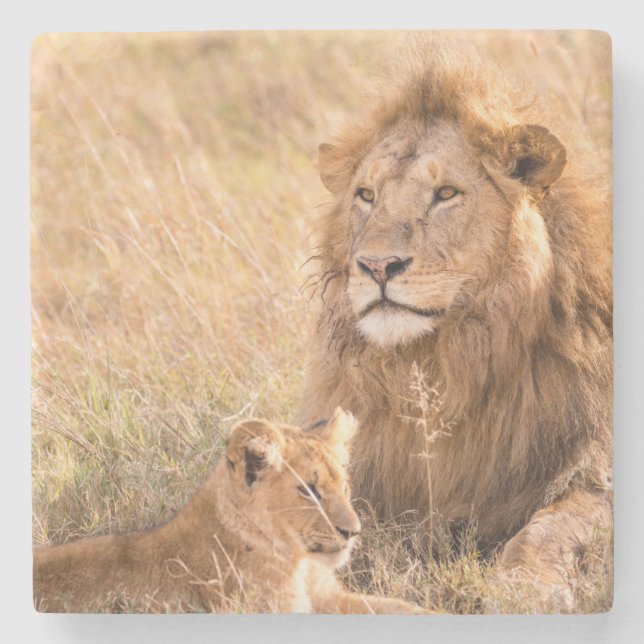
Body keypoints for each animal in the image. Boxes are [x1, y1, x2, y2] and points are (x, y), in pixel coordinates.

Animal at [33, 408, 420, 614]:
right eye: (308, 490)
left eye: (344, 485)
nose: (353, 532)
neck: (299, 563)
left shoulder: (331, 598)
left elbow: (407, 608)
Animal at [300, 37, 612, 590]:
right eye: (366, 195)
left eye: (446, 193)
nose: (376, 265)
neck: (447, 366)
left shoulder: (596, 471)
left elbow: (548, 529)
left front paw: (521, 590)